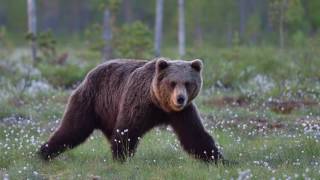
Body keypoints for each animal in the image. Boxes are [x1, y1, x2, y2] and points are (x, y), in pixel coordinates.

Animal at [39, 58, 222, 163]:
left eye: (188, 83)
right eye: (172, 83)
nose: (180, 98)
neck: (159, 104)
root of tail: (89, 73)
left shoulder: (181, 113)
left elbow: (194, 135)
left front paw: (217, 158)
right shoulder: (139, 103)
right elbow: (127, 130)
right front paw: (121, 158)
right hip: (91, 101)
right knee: (73, 128)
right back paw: (45, 152)